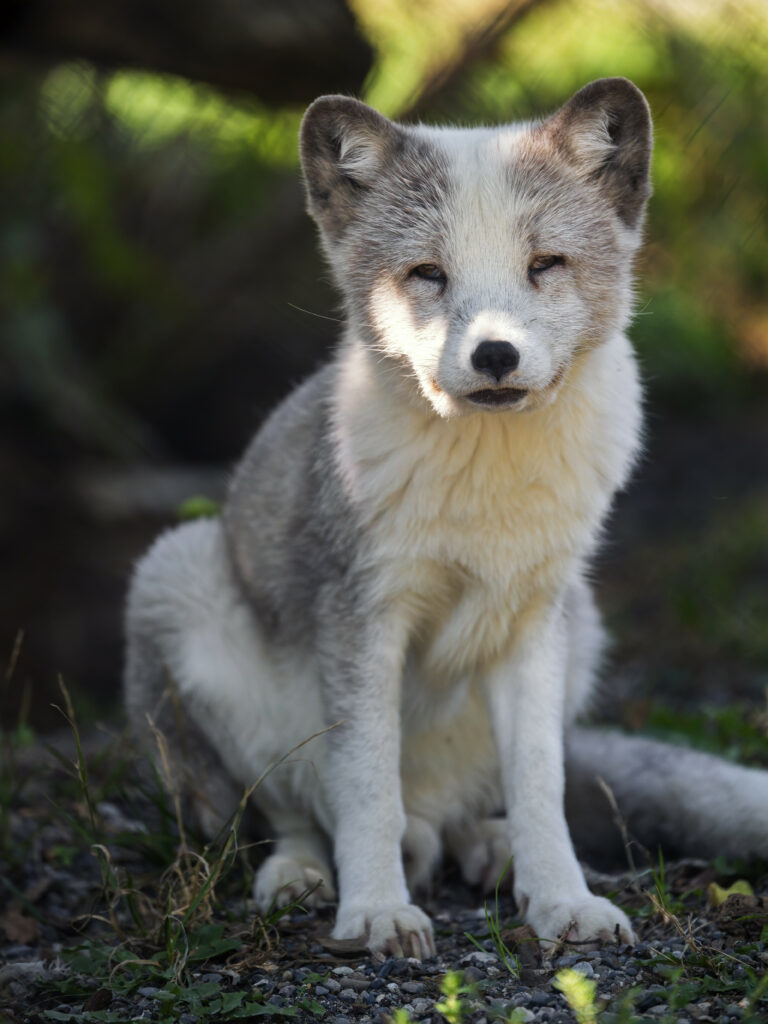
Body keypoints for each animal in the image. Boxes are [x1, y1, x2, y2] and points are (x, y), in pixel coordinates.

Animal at [124, 78, 768, 960]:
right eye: (428, 274)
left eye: (544, 265)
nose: (495, 356)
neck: (485, 486)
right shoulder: (363, 613)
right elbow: (365, 784)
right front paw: (374, 912)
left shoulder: (531, 619)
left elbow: (541, 785)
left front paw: (562, 901)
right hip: (180, 582)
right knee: (292, 810)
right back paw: (304, 876)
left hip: (582, 622)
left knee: (464, 810)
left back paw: (488, 850)